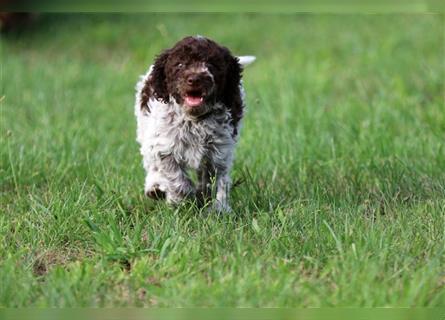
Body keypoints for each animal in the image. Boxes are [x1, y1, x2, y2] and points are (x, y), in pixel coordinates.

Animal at [134, 35, 255, 212]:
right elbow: (175, 177)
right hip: (145, 130)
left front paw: (217, 208)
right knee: (151, 163)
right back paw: (154, 187)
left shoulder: (218, 150)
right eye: (179, 65)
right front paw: (179, 199)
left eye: (212, 65)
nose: (195, 79)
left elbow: (214, 180)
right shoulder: (164, 146)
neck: (194, 120)